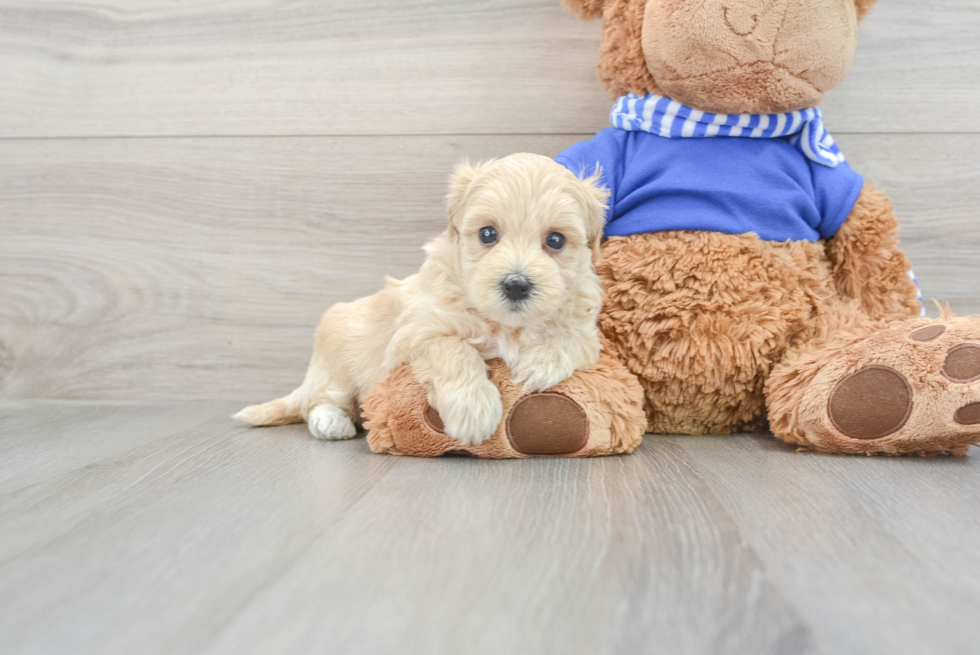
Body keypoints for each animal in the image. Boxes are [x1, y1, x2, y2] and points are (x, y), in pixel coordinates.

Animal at [234, 152, 608, 446]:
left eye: (556, 240)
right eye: (488, 234)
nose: (516, 285)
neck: (505, 325)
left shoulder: (587, 329)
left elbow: (573, 337)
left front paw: (541, 362)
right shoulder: (417, 331)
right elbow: (452, 349)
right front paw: (472, 409)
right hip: (338, 354)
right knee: (321, 401)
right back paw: (331, 422)